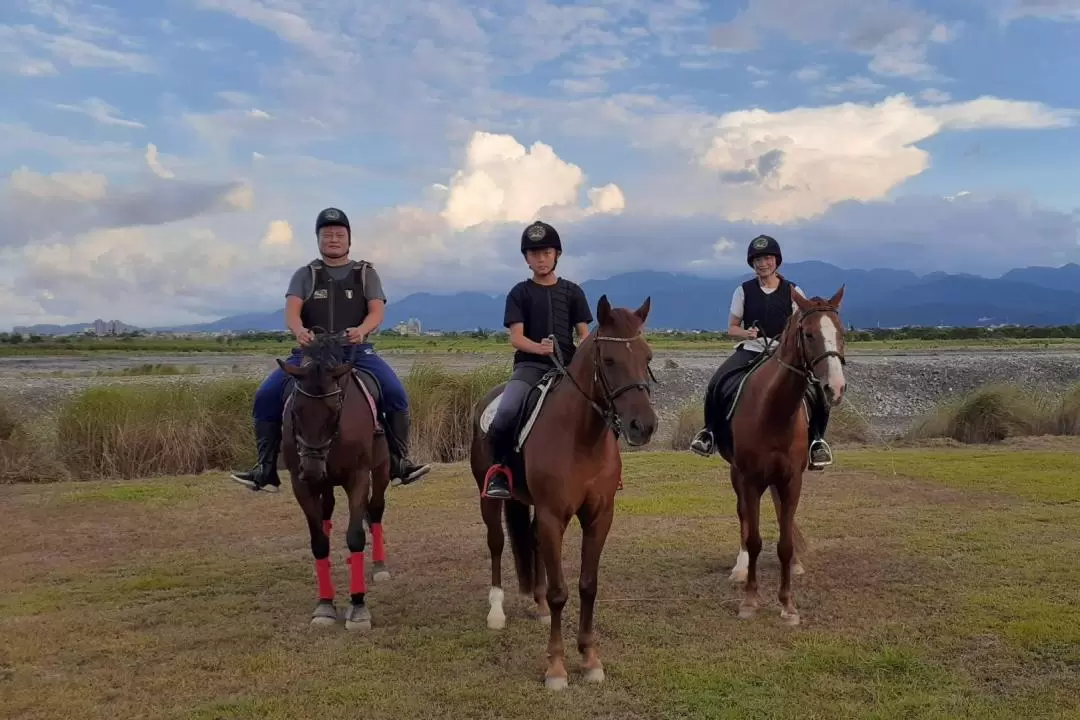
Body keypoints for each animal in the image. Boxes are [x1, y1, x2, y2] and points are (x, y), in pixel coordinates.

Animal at [276, 330, 395, 630]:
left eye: (334, 411)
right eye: (295, 411)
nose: (312, 469)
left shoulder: (359, 477)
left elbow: (355, 535)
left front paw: (358, 605)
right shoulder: (301, 484)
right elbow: (319, 541)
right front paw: (325, 605)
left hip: (381, 468)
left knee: (375, 510)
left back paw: (378, 566)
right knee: (327, 513)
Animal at [466, 293, 652, 690]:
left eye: (647, 357)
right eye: (609, 360)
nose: (643, 426)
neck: (581, 437)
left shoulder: (599, 517)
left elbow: (587, 586)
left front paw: (591, 659)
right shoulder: (554, 516)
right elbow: (559, 592)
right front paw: (556, 667)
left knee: (532, 544)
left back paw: (534, 607)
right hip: (488, 497)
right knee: (496, 543)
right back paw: (496, 611)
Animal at [712, 284, 846, 626]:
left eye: (840, 332)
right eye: (809, 334)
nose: (835, 388)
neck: (773, 411)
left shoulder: (791, 479)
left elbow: (784, 542)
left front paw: (788, 605)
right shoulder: (748, 479)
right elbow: (755, 537)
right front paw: (749, 600)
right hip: (737, 475)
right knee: (744, 518)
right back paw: (740, 566)